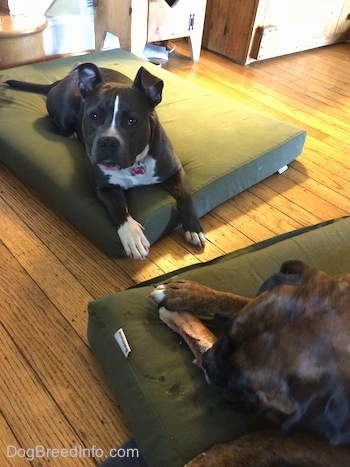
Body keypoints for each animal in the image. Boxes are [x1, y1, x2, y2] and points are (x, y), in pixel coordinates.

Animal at [150, 260, 350, 467]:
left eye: (248, 389)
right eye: (226, 333)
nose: (207, 361)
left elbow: (273, 438)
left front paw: (214, 460)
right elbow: (238, 300)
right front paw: (190, 293)